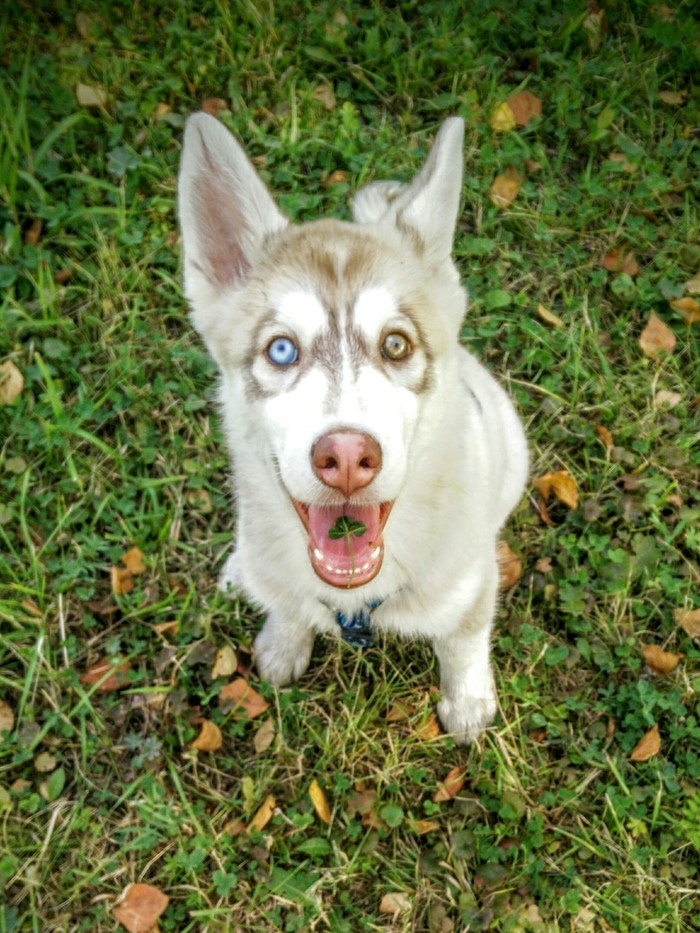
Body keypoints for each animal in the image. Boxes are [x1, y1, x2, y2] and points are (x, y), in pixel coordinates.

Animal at [178, 113, 528, 744]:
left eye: (396, 345)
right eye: (282, 350)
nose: (344, 456)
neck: (357, 601)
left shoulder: (470, 585)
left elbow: (463, 640)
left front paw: (467, 701)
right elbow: (288, 606)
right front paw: (282, 642)